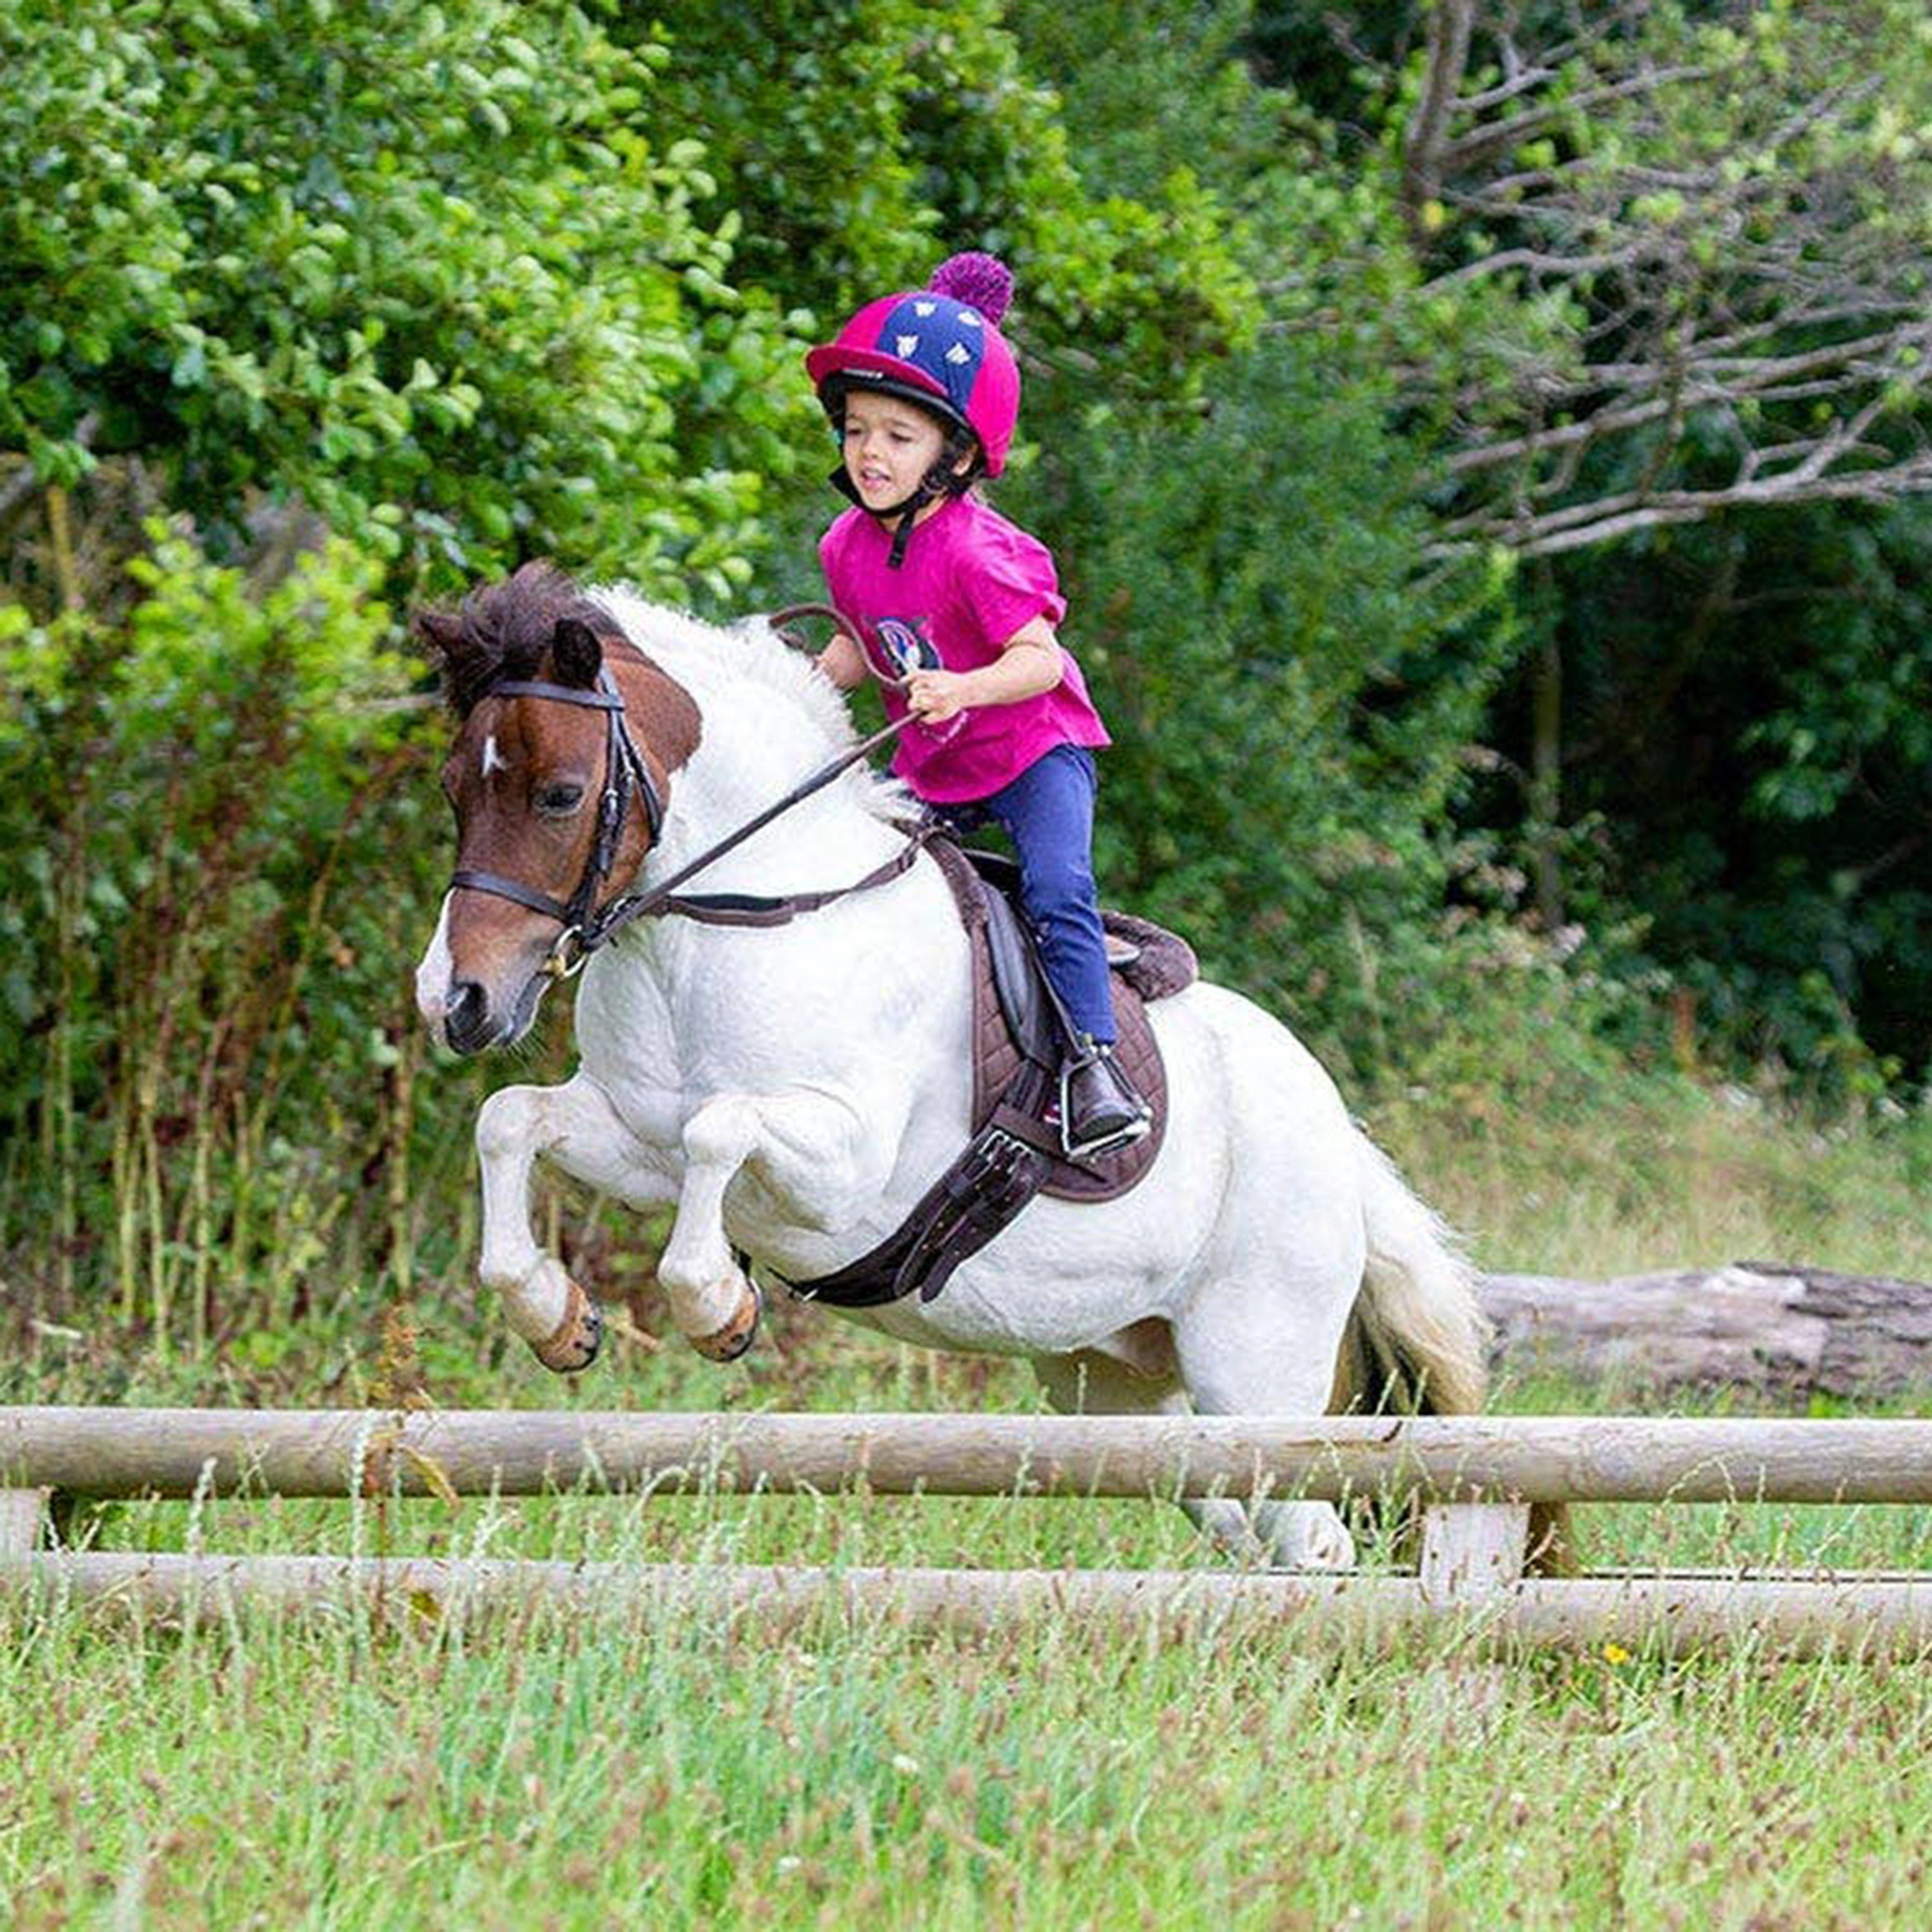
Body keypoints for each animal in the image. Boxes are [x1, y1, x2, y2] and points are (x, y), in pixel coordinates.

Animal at [411, 561, 1506, 1571]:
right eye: (455, 789)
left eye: (560, 795)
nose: (454, 1000)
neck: (739, 914)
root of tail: (1342, 1141)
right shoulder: (636, 1141)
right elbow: (513, 1120)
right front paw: (556, 1318)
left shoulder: (839, 1163)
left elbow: (717, 1131)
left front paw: (720, 1309)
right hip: (1113, 1381)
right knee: (1238, 1519)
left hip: (1254, 1363)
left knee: (1310, 1536)